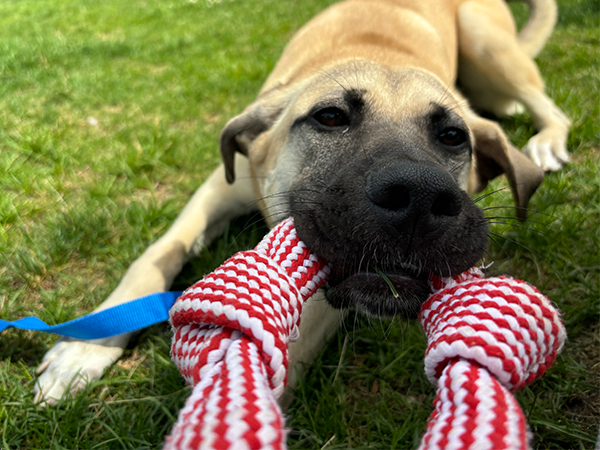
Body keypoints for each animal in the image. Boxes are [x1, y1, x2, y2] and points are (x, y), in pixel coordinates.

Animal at [32, 0, 568, 406]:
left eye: (453, 136)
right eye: (329, 117)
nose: (419, 197)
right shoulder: (219, 185)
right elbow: (155, 257)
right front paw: (85, 348)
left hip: (486, 40)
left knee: (548, 106)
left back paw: (546, 141)